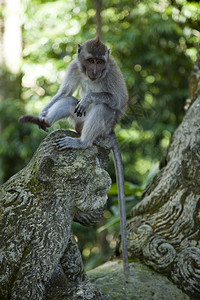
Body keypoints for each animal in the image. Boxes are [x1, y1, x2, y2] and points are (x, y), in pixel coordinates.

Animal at [18, 37, 130, 276]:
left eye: (100, 61)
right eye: (90, 60)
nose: (95, 71)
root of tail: (110, 132)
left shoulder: (112, 71)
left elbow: (118, 101)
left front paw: (90, 96)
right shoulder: (73, 67)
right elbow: (63, 94)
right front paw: (43, 112)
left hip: (104, 127)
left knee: (101, 107)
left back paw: (83, 142)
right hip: (78, 121)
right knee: (70, 102)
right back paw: (44, 121)